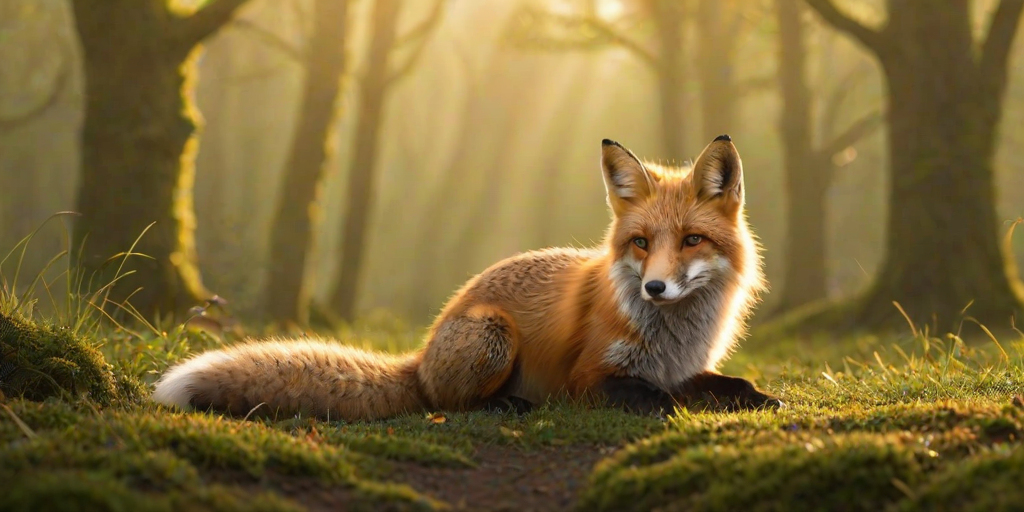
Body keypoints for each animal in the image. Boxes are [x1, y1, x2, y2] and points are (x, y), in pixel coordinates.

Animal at [152, 135, 783, 422]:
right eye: (642, 244)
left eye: (692, 240)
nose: (654, 288)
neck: (673, 335)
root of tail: (420, 355)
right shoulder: (589, 378)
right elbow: (658, 400)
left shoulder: (685, 367)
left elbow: (729, 384)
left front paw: (758, 398)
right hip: (491, 333)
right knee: (449, 403)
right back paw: (506, 406)